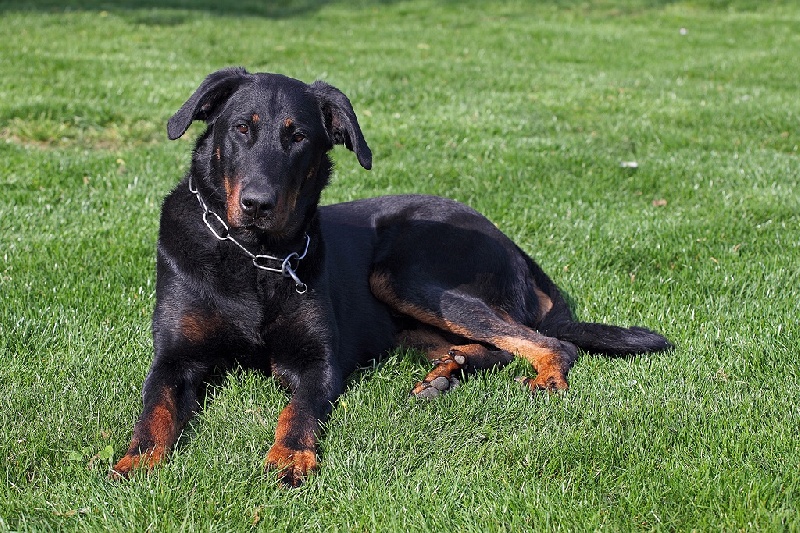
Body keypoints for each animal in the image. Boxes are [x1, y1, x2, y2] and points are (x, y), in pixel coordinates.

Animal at [111, 67, 676, 486]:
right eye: (241, 129)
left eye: (299, 137)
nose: (257, 204)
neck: (254, 258)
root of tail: (514, 244)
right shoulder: (175, 357)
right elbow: (154, 410)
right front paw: (134, 460)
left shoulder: (317, 362)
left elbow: (298, 412)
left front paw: (290, 458)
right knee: (492, 346)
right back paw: (446, 373)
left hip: (402, 274)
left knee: (550, 343)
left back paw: (538, 380)